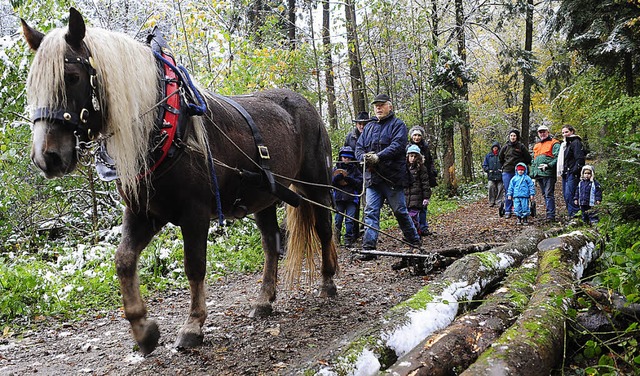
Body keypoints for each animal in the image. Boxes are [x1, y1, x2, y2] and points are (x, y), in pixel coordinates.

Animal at [21, 8, 338, 356]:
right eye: (32, 84)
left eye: (72, 77)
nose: (47, 157)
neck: (161, 125)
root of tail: (304, 103)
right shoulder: (144, 213)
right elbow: (124, 260)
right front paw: (143, 329)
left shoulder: (195, 213)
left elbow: (194, 266)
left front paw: (193, 326)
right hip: (264, 197)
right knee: (271, 243)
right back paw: (264, 300)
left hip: (316, 186)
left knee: (324, 229)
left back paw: (328, 283)